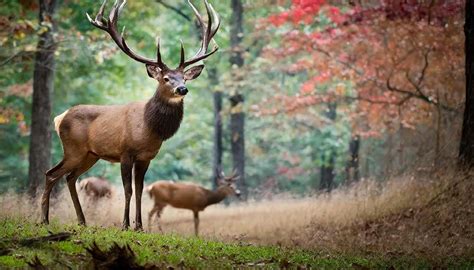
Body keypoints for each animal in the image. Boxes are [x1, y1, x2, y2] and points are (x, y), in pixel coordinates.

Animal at [39, 0, 220, 231]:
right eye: (166, 78)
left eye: (184, 78)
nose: (182, 89)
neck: (148, 128)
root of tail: (59, 118)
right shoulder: (125, 152)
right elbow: (128, 189)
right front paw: (125, 224)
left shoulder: (146, 157)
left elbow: (141, 190)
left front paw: (139, 226)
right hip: (73, 149)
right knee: (51, 174)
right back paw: (44, 219)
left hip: (90, 154)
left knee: (70, 178)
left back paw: (82, 221)